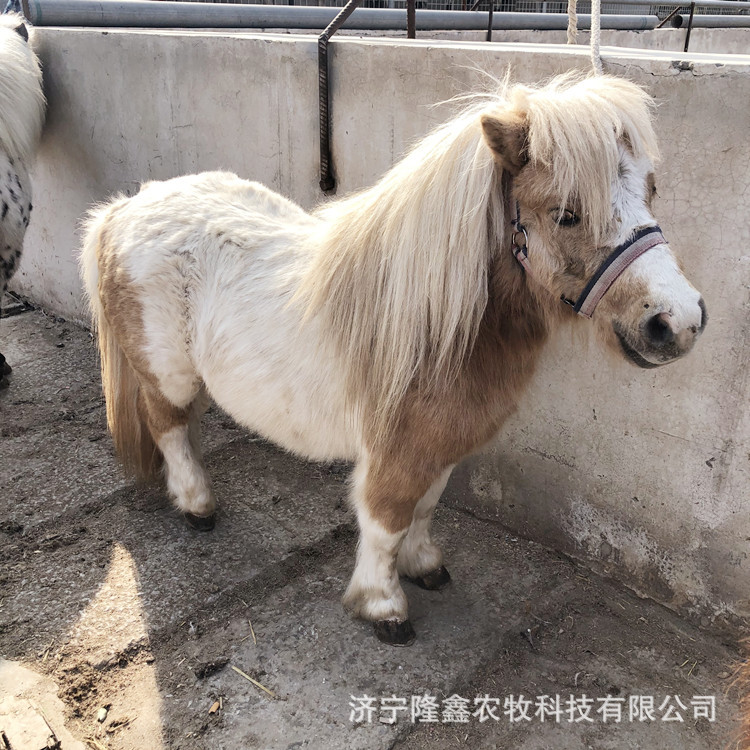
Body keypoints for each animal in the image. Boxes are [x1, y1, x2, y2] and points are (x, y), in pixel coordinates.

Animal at [81, 73, 707, 646]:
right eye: (567, 214)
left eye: (650, 190)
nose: (678, 322)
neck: (438, 324)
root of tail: (129, 205)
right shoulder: (396, 451)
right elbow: (386, 520)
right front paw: (383, 606)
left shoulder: (440, 444)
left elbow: (424, 509)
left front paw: (424, 566)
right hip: (169, 375)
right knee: (169, 426)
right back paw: (197, 505)